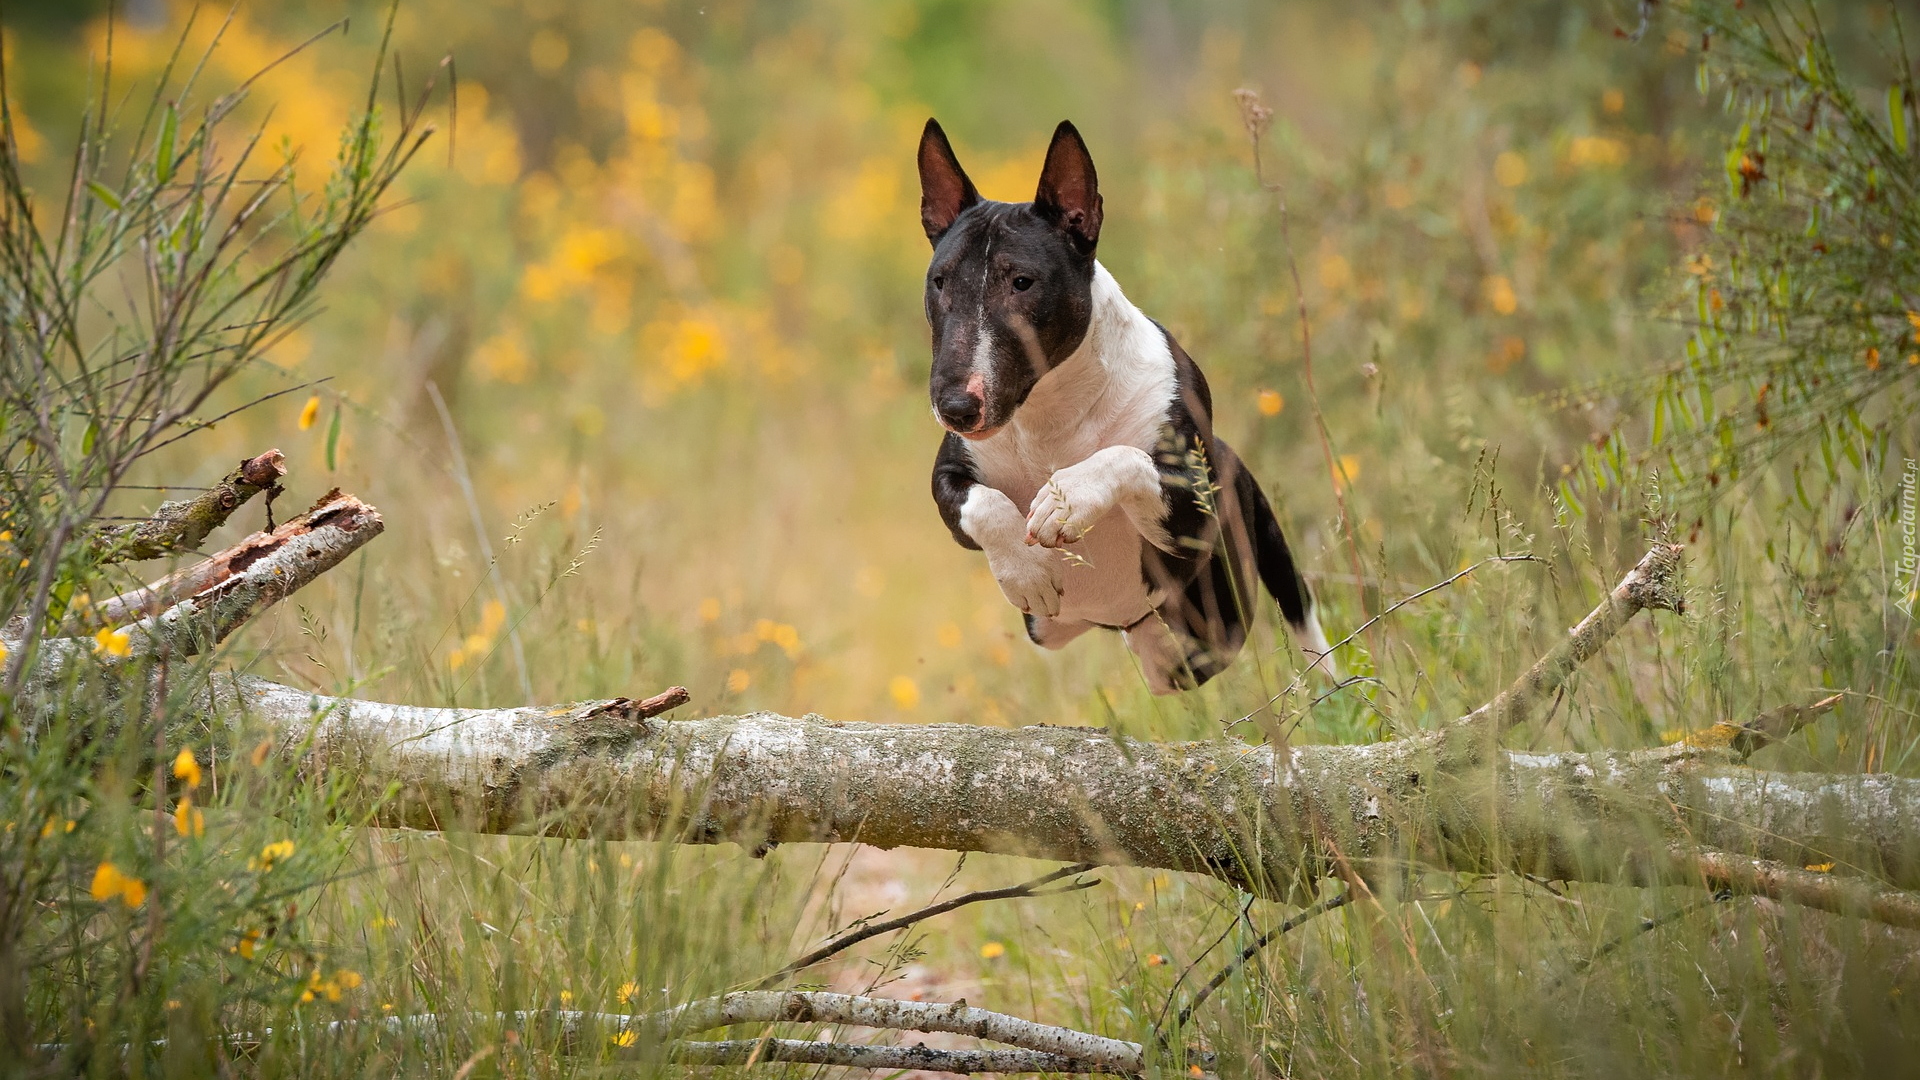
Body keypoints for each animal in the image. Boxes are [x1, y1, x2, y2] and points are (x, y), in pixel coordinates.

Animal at [921, 117, 1328, 687]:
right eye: (939, 282)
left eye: (1022, 282)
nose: (956, 407)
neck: (1050, 417)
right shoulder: (951, 475)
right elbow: (982, 503)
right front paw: (1027, 575)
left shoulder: (1193, 509)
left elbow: (1126, 457)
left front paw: (1065, 500)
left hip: (1235, 581)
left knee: (1299, 620)